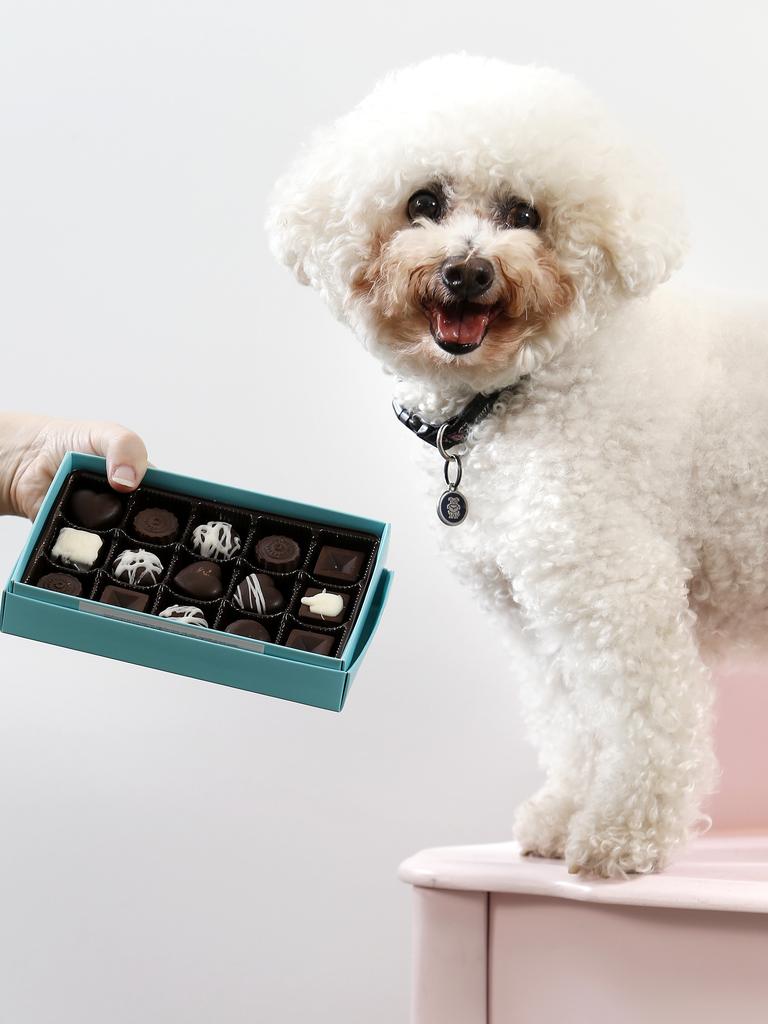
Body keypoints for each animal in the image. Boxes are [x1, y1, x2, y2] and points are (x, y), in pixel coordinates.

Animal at [268, 51, 768, 876]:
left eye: (524, 214)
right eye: (423, 202)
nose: (466, 271)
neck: (515, 397)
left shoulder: (614, 590)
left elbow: (641, 721)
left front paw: (620, 834)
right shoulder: (537, 616)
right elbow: (573, 725)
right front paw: (564, 816)